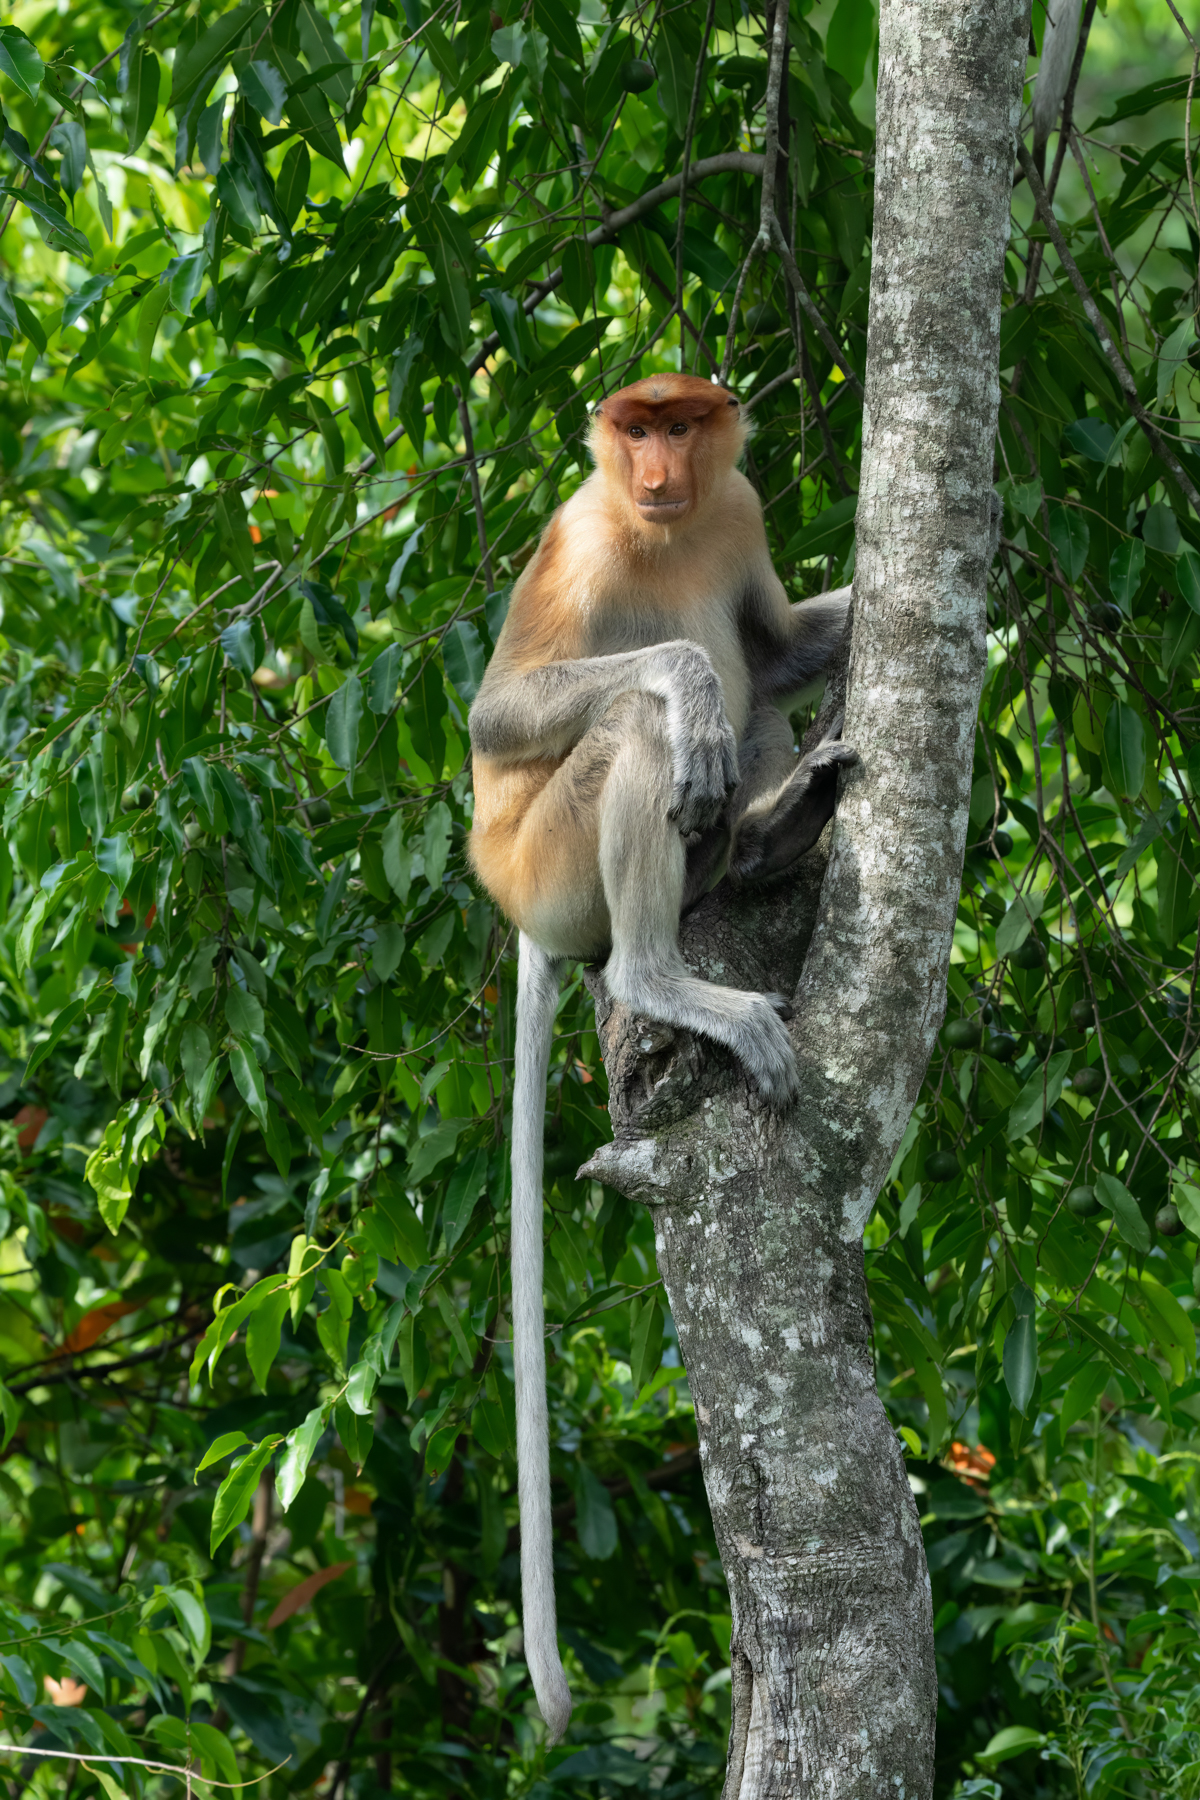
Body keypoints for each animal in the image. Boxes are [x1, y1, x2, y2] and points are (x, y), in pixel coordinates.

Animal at [466, 373, 855, 1743]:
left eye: (683, 426)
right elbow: (500, 706)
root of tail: (523, 919)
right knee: (634, 728)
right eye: (633, 428)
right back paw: (664, 966)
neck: (667, 526)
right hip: (549, 862)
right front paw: (686, 686)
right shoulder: (584, 535)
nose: (654, 470)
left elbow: (775, 643)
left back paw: (773, 826)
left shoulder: (736, 507)